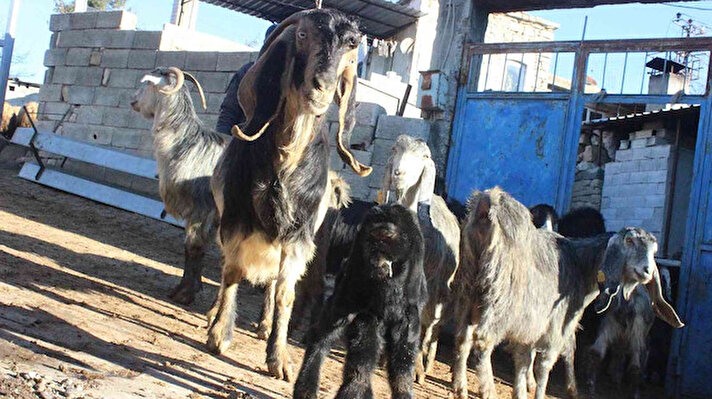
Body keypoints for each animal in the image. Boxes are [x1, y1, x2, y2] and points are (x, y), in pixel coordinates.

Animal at [129, 67, 228, 304]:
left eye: (147, 83)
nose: (132, 100)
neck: (187, 144)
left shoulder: (202, 210)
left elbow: (193, 248)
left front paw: (185, 293)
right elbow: (192, 250)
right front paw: (188, 288)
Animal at [203, 7, 370, 380]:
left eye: (351, 43)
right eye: (303, 35)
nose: (322, 87)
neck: (286, 160)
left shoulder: (299, 234)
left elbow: (285, 293)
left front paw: (279, 358)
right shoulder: (235, 217)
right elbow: (231, 272)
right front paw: (220, 333)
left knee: (271, 284)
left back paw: (265, 324)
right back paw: (212, 314)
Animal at [292, 205, 426, 398]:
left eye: (385, 237)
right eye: (371, 238)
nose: (375, 251)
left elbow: (404, 354)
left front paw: (404, 389)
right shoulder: (355, 266)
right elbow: (330, 332)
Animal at [382, 136, 458, 386]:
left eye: (424, 157)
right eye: (394, 149)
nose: (399, 173)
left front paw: (415, 368)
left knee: (433, 325)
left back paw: (427, 360)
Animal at [450, 188, 684, 399]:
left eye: (654, 250)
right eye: (629, 241)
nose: (646, 271)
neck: (580, 265)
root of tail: (488, 206)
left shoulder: (532, 327)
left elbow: (524, 361)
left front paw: (522, 392)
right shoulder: (556, 324)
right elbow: (545, 365)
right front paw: (541, 392)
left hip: (468, 292)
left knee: (462, 337)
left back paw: (460, 387)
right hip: (500, 303)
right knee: (482, 341)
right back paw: (488, 390)